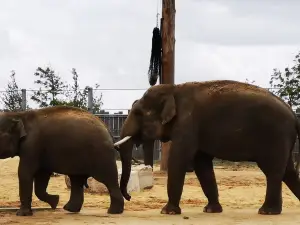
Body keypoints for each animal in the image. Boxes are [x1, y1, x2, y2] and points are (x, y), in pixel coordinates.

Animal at [114, 80, 300, 216]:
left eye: (138, 113)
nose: (129, 197)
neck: (173, 89)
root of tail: (293, 115)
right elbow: (201, 164)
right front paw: (210, 210)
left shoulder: (187, 123)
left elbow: (179, 159)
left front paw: (167, 212)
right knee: (288, 172)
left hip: (275, 136)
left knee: (274, 171)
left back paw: (267, 212)